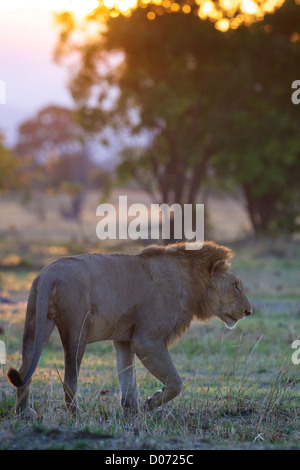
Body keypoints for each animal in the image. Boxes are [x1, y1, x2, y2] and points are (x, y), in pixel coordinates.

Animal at [6, 241, 251, 416]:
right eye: (235, 285)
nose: (249, 311)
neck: (192, 283)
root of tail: (48, 273)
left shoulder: (125, 340)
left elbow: (128, 379)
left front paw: (131, 411)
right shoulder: (146, 340)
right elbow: (176, 382)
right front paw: (150, 403)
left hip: (34, 325)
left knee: (25, 371)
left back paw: (25, 414)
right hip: (77, 330)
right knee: (69, 381)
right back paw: (77, 416)